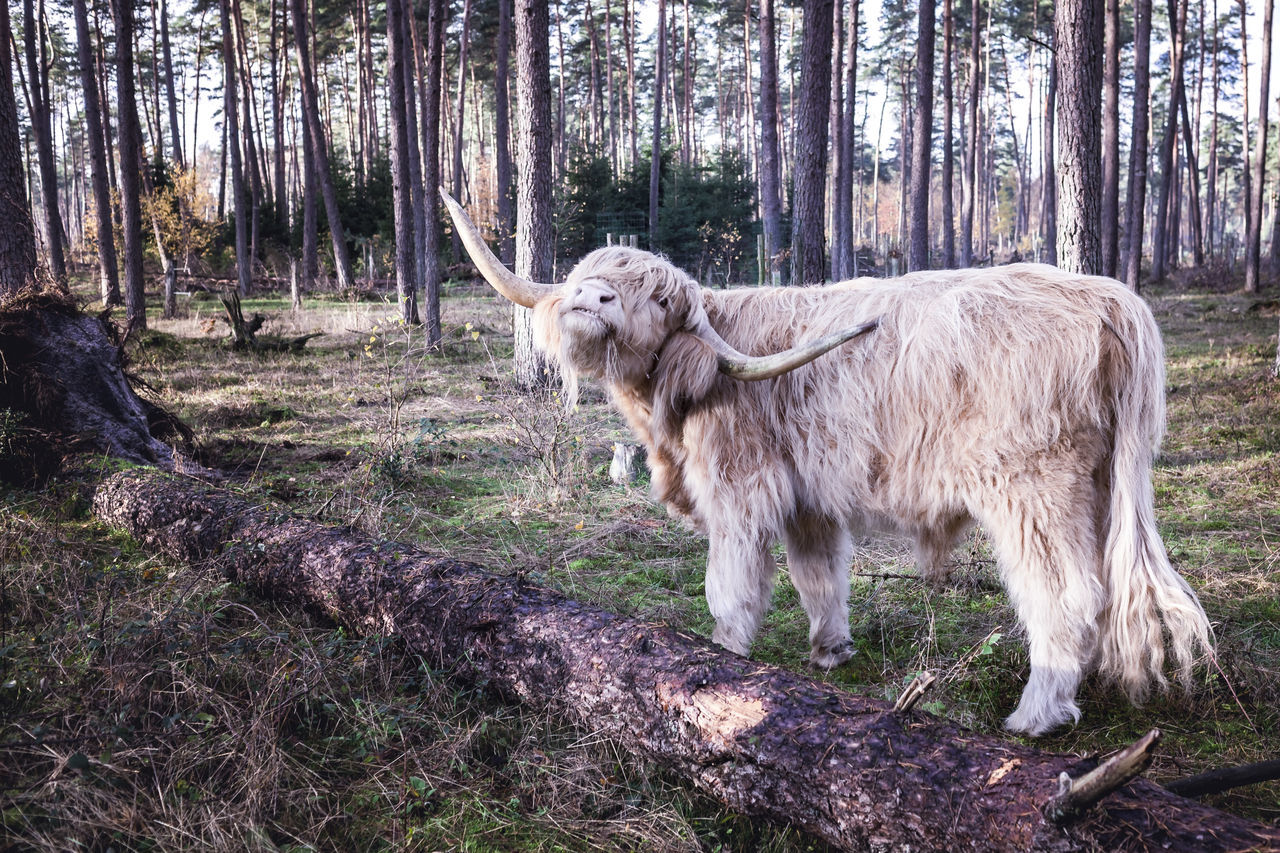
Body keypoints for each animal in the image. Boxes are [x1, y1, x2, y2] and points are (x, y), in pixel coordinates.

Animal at [445, 189, 1213, 732]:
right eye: (585, 274)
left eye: (657, 297)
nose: (590, 299)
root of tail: (1108, 296)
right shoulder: (808, 497)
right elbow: (819, 576)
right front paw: (830, 651)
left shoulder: (740, 489)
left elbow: (732, 584)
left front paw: (723, 657)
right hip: (1102, 484)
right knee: (1110, 585)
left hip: (1033, 488)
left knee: (1066, 594)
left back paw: (1036, 714)